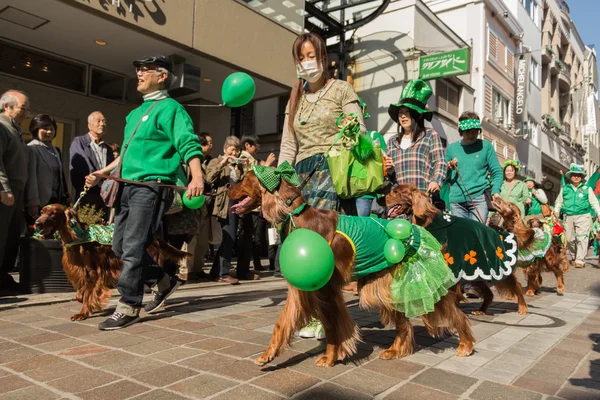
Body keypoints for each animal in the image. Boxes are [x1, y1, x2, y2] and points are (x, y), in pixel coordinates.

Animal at [34, 205, 188, 320]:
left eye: (53, 213)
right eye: (41, 212)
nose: (37, 223)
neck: (76, 237)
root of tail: (154, 237)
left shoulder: (93, 272)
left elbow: (87, 294)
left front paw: (83, 313)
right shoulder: (82, 273)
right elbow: (79, 294)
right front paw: (86, 303)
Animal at [227, 162, 476, 368]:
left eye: (244, 178)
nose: (228, 186)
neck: (298, 218)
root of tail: (420, 231)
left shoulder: (326, 290)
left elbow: (331, 327)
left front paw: (330, 358)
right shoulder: (302, 290)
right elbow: (282, 323)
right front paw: (268, 355)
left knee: (455, 314)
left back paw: (466, 345)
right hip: (381, 288)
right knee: (403, 323)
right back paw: (396, 350)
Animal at [382, 184, 528, 316]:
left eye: (396, 192)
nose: (380, 199)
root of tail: (499, 232)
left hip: (499, 268)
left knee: (517, 285)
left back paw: (523, 307)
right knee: (489, 293)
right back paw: (481, 310)